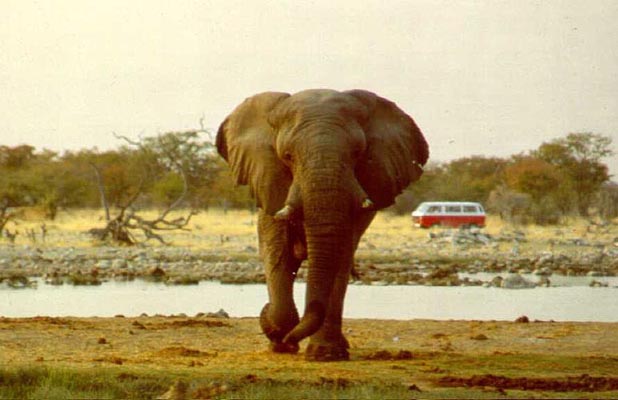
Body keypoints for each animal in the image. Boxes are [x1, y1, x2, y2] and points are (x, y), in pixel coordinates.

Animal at [218, 89, 428, 360]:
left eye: (357, 153)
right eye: (287, 156)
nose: (262, 313)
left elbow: (339, 259)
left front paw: (324, 354)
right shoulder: (270, 183)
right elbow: (278, 253)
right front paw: (278, 336)